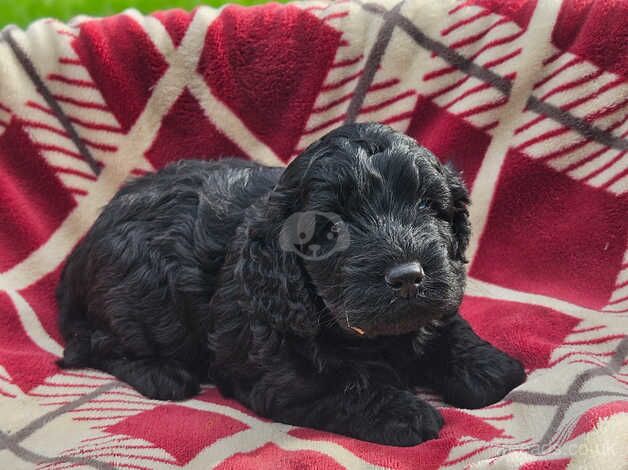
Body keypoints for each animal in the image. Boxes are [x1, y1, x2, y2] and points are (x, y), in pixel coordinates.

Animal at [57, 121, 524, 444]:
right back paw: (161, 374)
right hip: (147, 297)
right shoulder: (282, 375)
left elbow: (443, 321)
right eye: (330, 229)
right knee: (91, 344)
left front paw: (485, 365)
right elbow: (343, 384)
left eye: (428, 205)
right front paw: (401, 411)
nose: (408, 277)